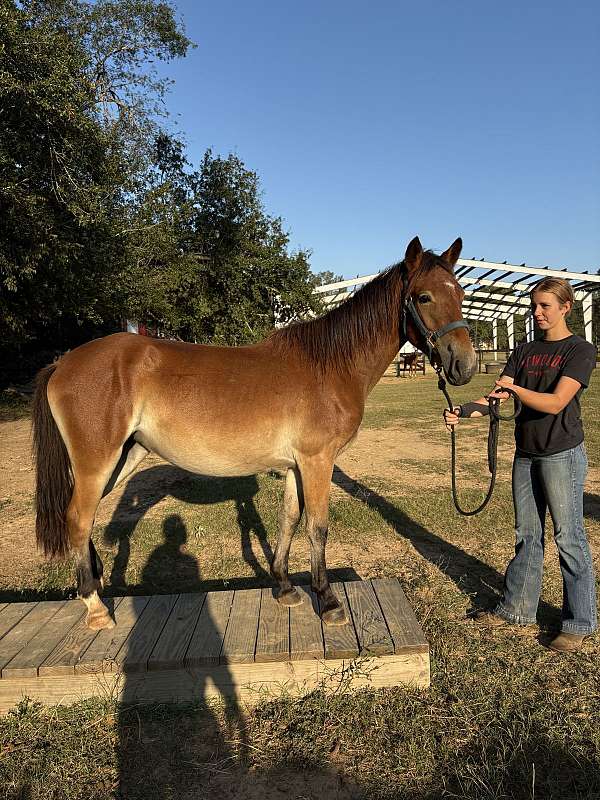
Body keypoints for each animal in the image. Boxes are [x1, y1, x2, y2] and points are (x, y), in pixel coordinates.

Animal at [32, 236, 477, 630]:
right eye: (424, 297)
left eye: (460, 293)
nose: (465, 365)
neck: (330, 365)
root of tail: (63, 363)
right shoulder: (318, 462)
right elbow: (317, 525)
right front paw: (327, 600)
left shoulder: (297, 465)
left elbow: (289, 519)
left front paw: (285, 586)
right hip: (97, 461)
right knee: (78, 517)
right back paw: (95, 608)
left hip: (125, 456)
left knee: (84, 516)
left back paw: (94, 583)